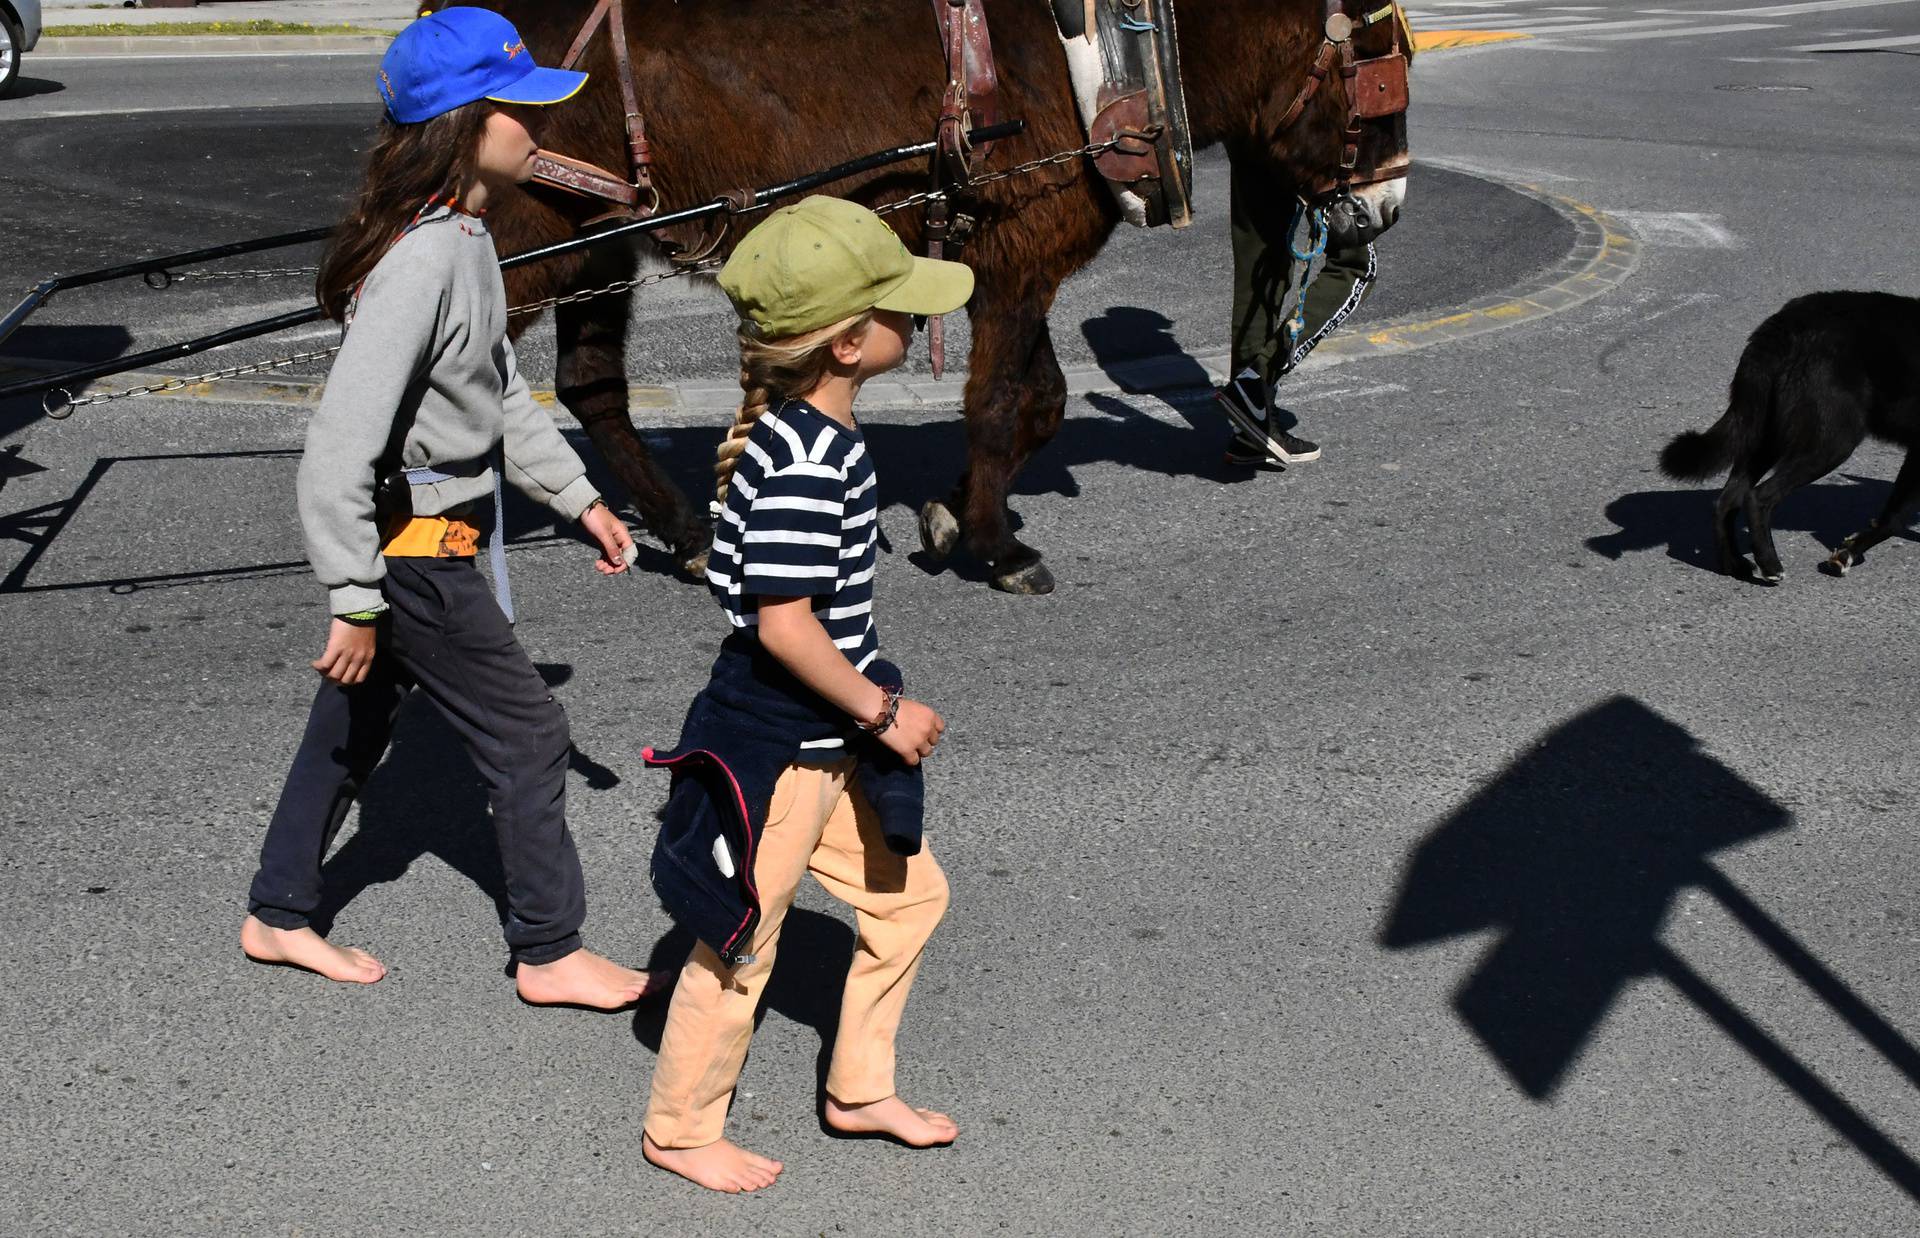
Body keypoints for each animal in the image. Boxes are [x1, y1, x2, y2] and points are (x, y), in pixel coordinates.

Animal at [1658, 287, 1912, 579]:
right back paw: (1769, 564)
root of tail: (1784, 323)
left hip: (1765, 437)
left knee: (1726, 500)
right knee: (1757, 497)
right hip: (1832, 442)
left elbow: (1893, 518)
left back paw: (1733, 564)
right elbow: (1893, 518)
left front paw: (1848, 553)